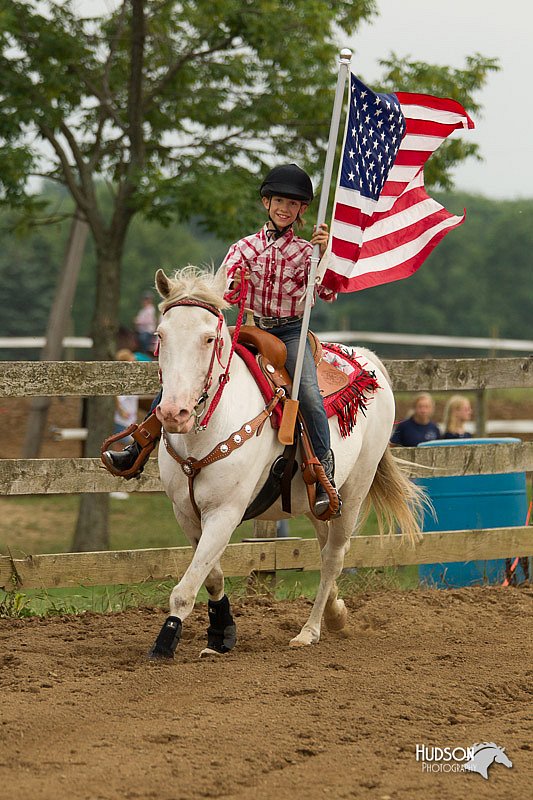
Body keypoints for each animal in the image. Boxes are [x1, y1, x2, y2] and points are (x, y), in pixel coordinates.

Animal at [148, 266, 422, 660]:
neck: (206, 430)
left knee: (333, 557)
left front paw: (166, 640)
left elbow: (186, 588)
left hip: (355, 491)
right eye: (160, 335)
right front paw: (221, 634)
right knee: (326, 548)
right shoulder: (185, 511)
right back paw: (336, 614)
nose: (174, 413)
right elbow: (210, 575)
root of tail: (369, 361)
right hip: (318, 501)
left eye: (208, 339)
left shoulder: (225, 512)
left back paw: (310, 631)